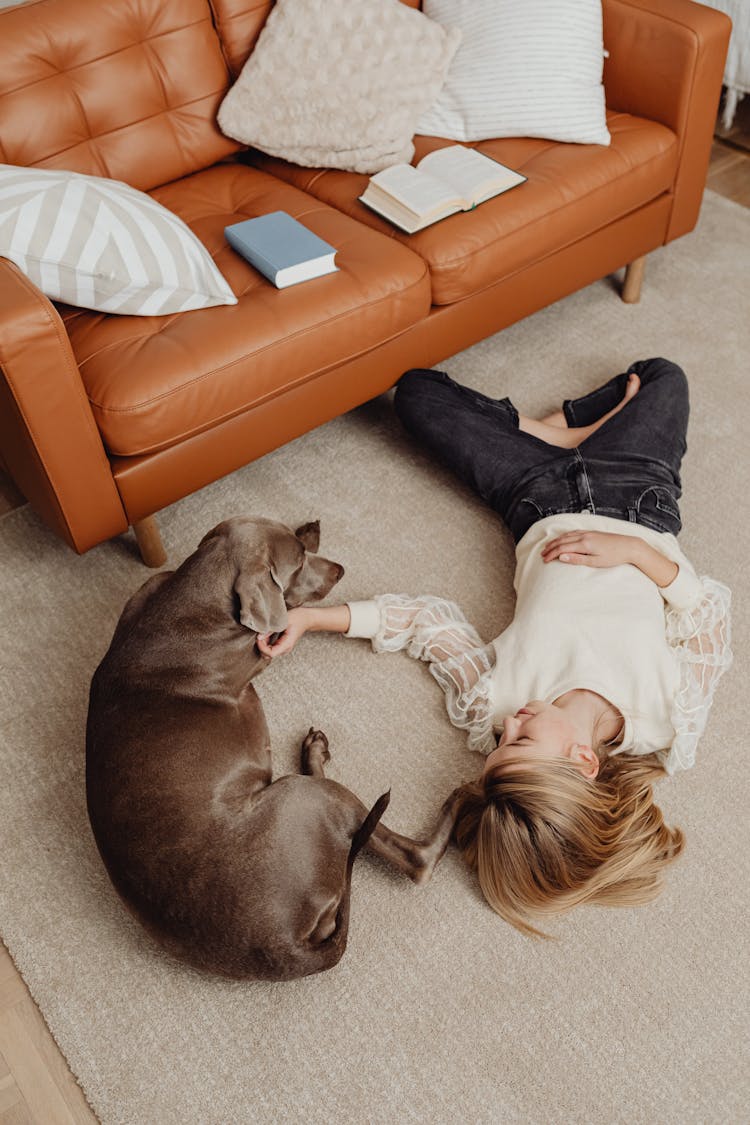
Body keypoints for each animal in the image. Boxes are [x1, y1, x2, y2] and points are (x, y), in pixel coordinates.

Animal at [84, 515, 454, 976]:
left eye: (301, 553)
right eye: (297, 566)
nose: (339, 571)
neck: (186, 605)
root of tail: (286, 947)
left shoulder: (148, 587)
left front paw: (309, 528)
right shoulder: (262, 644)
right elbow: (290, 615)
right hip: (305, 798)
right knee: (414, 858)